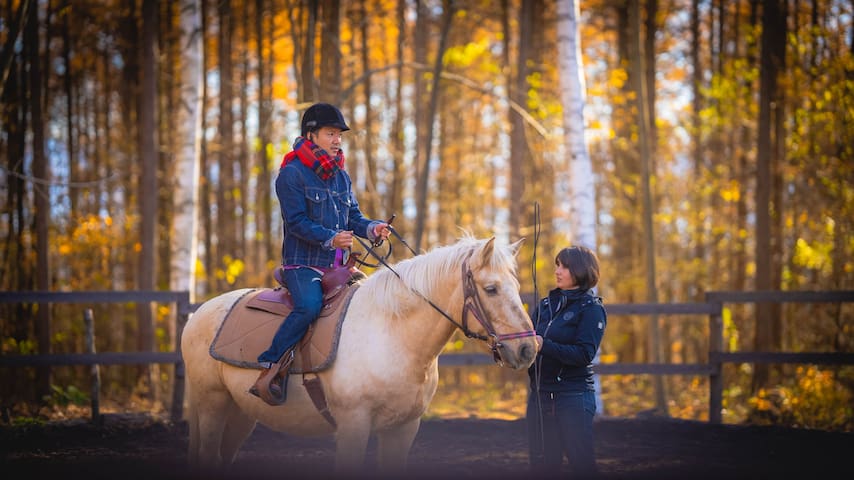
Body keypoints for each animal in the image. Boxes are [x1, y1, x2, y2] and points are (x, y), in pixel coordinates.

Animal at [183, 234, 540, 474]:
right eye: (491, 289)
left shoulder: (403, 429)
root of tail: (198, 314)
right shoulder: (353, 426)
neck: (392, 335)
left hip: (240, 413)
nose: (528, 348)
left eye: (516, 286)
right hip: (212, 405)